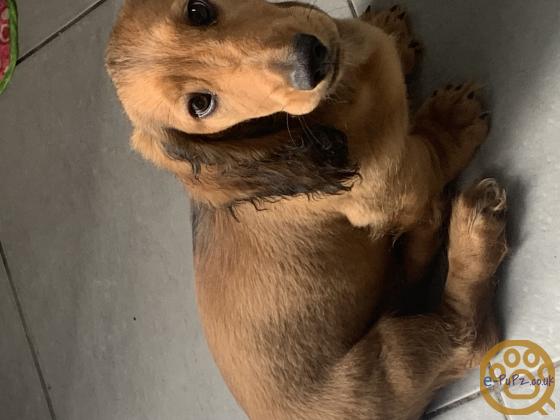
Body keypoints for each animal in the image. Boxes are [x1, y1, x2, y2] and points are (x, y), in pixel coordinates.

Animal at [104, 1, 508, 418]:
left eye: (198, 11)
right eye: (201, 104)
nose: (309, 61)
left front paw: (388, 28)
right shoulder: (398, 185)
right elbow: (431, 151)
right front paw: (449, 123)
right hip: (395, 357)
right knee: (469, 337)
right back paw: (474, 229)